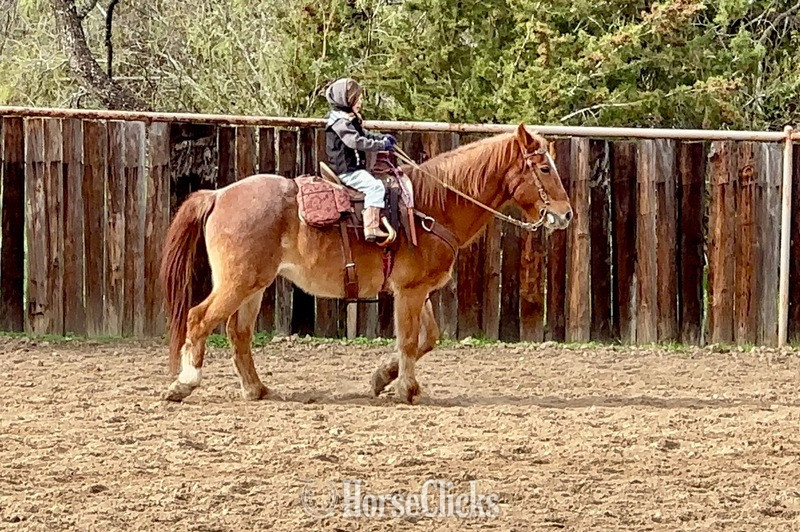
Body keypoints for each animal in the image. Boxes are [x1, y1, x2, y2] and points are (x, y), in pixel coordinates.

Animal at [160, 123, 573, 404]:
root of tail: (218, 194)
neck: (431, 206)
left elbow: (428, 338)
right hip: (237, 282)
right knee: (199, 319)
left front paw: (381, 378)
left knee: (238, 332)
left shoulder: (418, 291)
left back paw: (256, 389)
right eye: (544, 169)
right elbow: (408, 340)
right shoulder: (409, 292)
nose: (566, 215)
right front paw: (406, 390)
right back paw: (184, 384)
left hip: (254, 285)